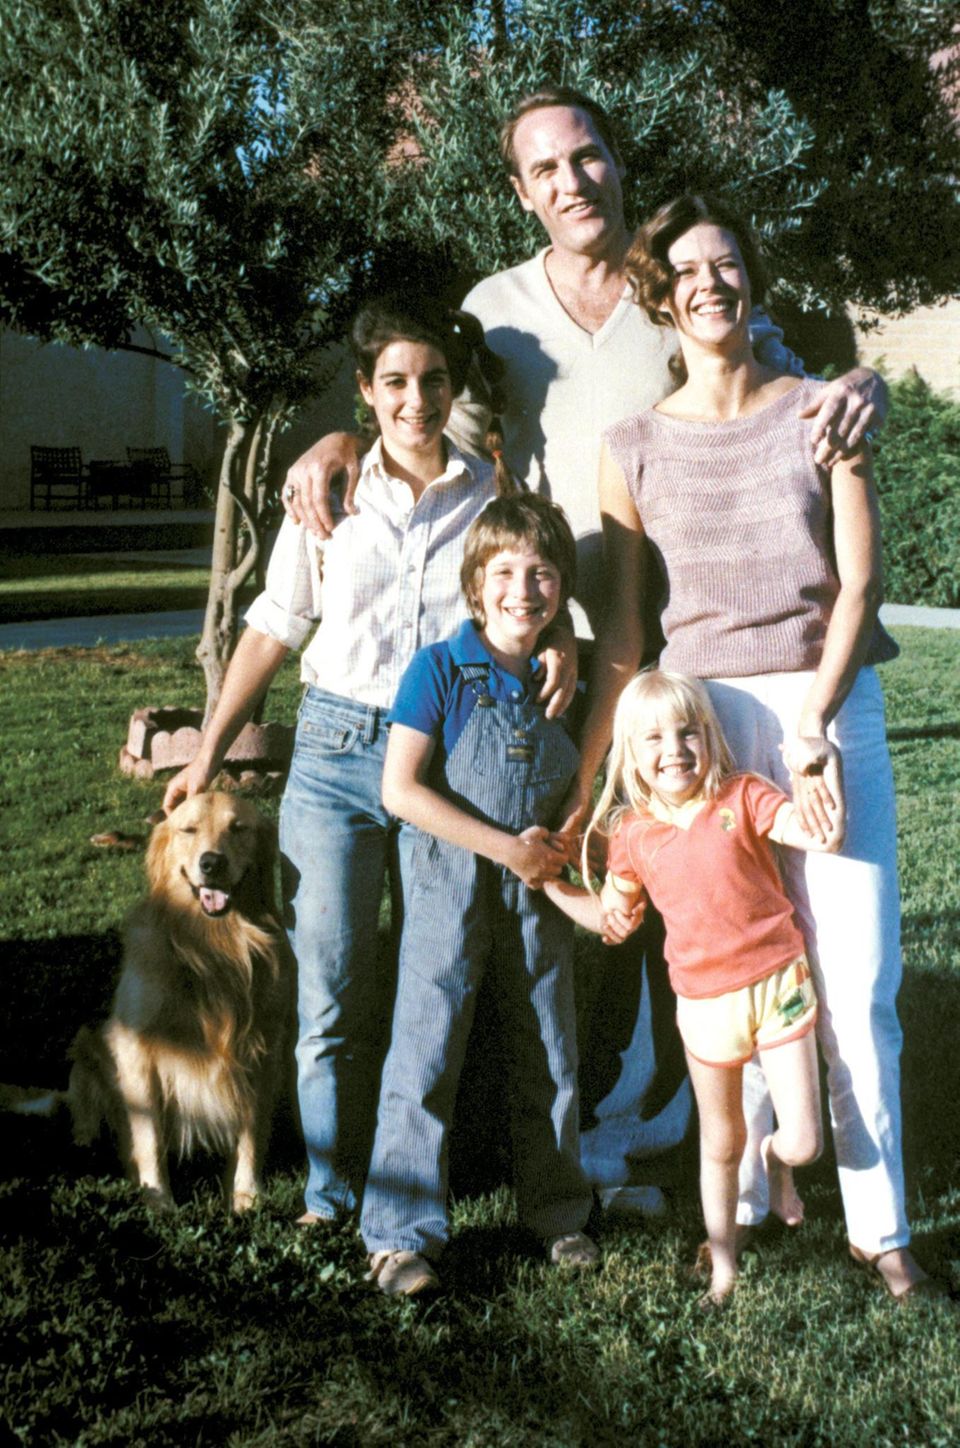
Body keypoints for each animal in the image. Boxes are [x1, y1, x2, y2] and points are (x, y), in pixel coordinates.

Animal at [66, 793, 289, 1210]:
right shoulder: (139, 1055)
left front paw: (245, 1195)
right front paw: (159, 1201)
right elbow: (149, 1137)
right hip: (89, 1041)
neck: (213, 948)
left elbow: (251, 1132)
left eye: (239, 828)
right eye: (189, 829)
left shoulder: (262, 1052)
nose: (211, 862)